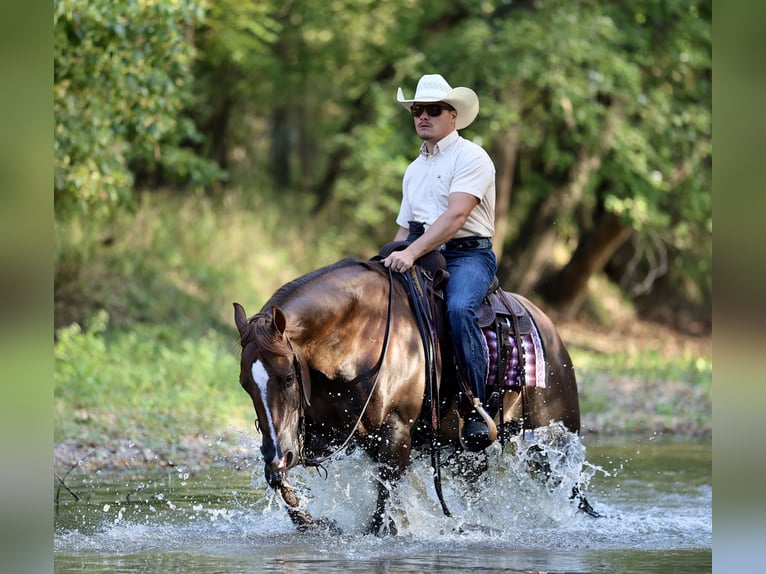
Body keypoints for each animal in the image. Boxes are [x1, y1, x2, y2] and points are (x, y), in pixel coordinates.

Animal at [233, 256, 582, 535]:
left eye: (288, 378)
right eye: (244, 384)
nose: (278, 455)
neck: (359, 335)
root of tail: (551, 332)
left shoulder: (396, 433)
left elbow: (383, 511)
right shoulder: (325, 434)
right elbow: (282, 484)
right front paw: (317, 524)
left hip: (552, 442)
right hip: (473, 456)